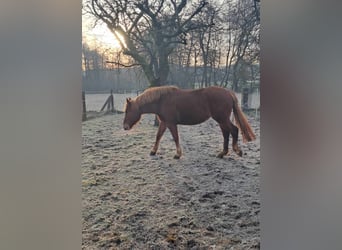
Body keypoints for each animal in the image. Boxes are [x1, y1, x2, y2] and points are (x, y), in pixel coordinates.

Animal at [122, 86, 254, 158]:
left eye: (127, 110)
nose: (125, 127)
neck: (161, 101)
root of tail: (228, 92)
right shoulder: (164, 123)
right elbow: (158, 136)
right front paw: (153, 151)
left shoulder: (171, 123)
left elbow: (175, 138)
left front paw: (178, 154)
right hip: (221, 120)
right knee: (226, 134)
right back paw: (222, 153)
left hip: (222, 119)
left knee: (234, 130)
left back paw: (237, 150)